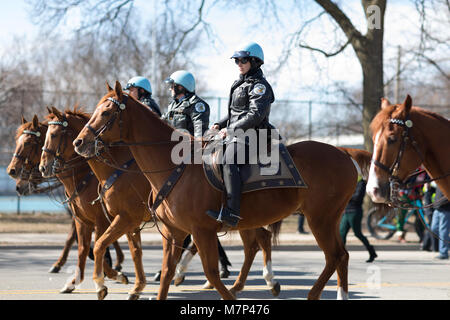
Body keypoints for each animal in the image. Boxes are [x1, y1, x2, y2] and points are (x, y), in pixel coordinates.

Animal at [42, 106, 282, 298]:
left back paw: (264, 280)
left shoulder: (118, 219)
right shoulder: (97, 220)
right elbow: (116, 249)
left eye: (54, 134)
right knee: (253, 242)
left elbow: (99, 246)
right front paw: (132, 284)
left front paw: (107, 280)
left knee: (259, 240)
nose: (43, 167)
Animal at [72, 82, 356, 300]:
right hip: (320, 219)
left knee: (333, 255)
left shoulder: (200, 231)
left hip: (320, 218)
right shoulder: (172, 231)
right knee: (338, 255)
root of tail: (344, 153)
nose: (79, 142)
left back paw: (308, 293)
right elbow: (165, 273)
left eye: (107, 112)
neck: (173, 164)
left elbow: (210, 272)